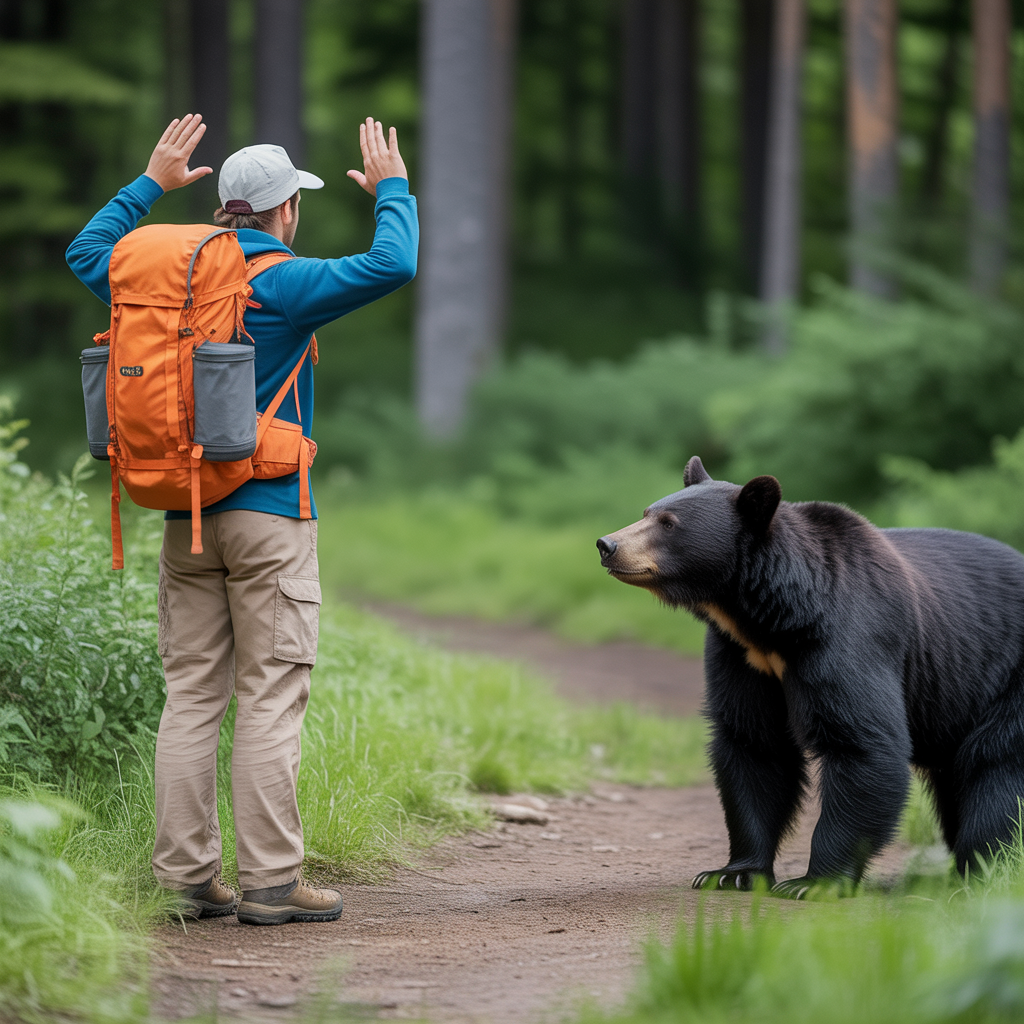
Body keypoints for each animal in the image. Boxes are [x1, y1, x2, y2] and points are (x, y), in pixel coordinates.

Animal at [596, 456, 1024, 897]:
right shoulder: (740, 655)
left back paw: (984, 868)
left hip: (1006, 680)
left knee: (996, 771)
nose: (607, 545)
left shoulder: (847, 637)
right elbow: (754, 745)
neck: (767, 620)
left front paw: (815, 882)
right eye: (646, 512)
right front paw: (732, 872)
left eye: (669, 523)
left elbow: (861, 743)